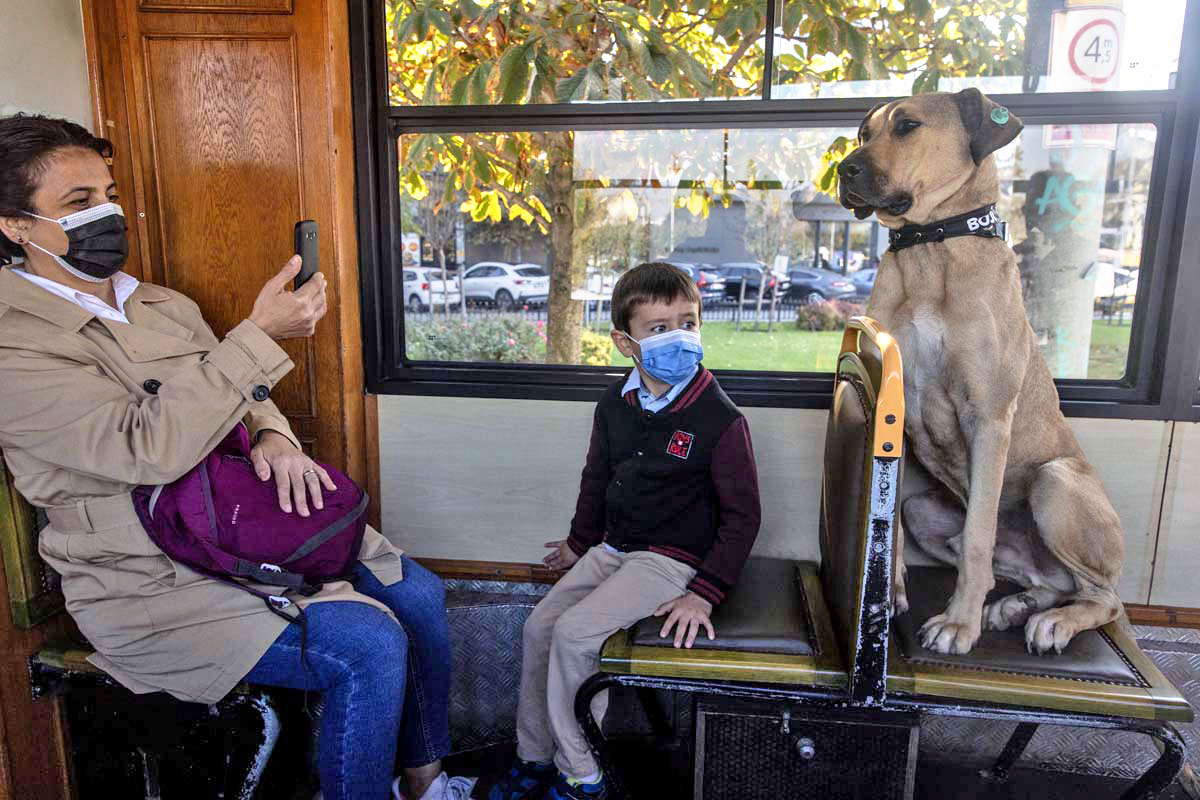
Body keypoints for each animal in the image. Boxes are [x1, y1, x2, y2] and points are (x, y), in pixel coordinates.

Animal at [840, 90, 1118, 657]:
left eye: (908, 126)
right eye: (863, 133)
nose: (844, 168)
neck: (930, 247)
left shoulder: (988, 418)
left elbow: (977, 537)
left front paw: (958, 624)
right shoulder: (893, 409)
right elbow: (891, 523)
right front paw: (891, 590)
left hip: (1056, 482)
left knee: (1103, 597)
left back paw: (1054, 621)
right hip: (927, 512)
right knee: (1043, 580)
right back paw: (1019, 605)